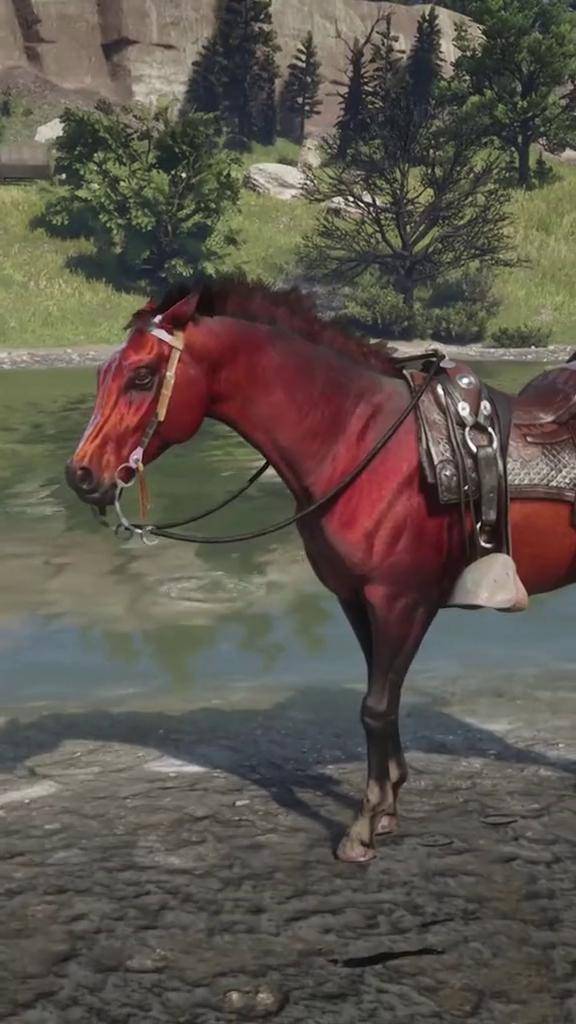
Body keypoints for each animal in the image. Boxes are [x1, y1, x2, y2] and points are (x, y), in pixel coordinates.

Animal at [65, 278, 576, 863]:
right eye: (103, 374)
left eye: (143, 376)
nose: (82, 474)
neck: (360, 444)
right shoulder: (355, 598)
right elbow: (384, 698)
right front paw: (388, 806)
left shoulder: (401, 600)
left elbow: (375, 705)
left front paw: (364, 825)